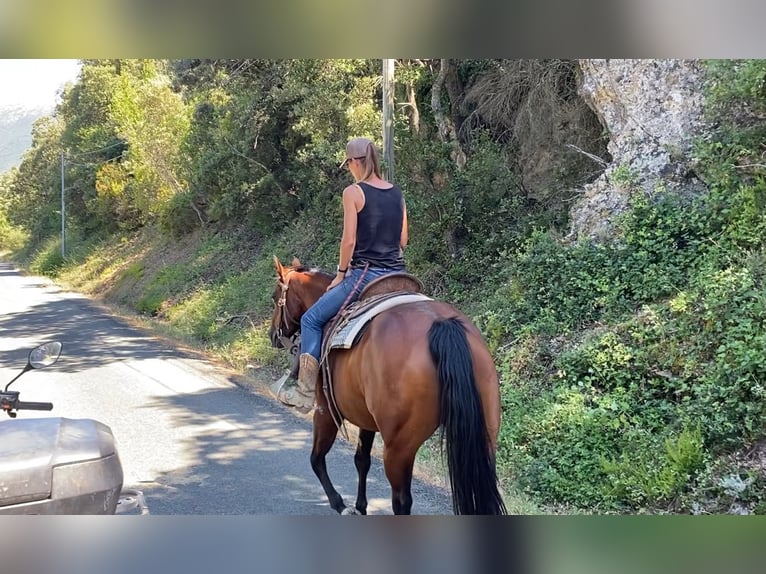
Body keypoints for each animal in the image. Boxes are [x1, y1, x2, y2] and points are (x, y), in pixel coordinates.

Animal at [268, 257, 507, 515]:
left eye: (274, 296)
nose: (272, 335)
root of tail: (442, 324)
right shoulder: (366, 418)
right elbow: (362, 459)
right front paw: (360, 506)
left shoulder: (326, 410)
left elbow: (316, 458)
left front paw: (340, 503)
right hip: (485, 435)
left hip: (399, 446)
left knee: (401, 500)